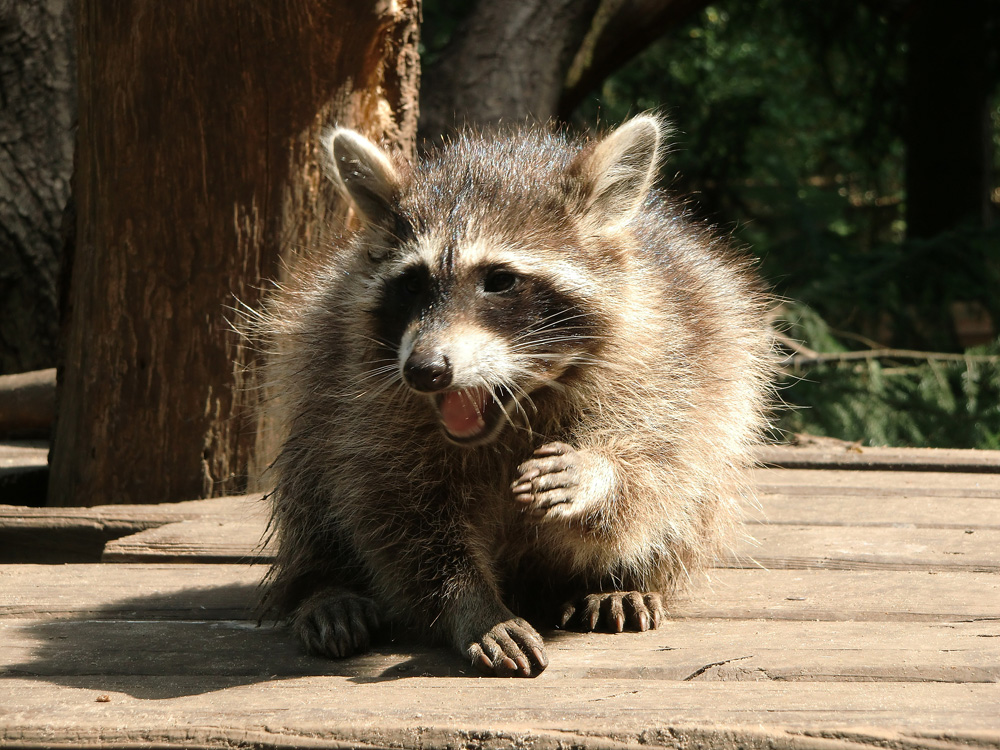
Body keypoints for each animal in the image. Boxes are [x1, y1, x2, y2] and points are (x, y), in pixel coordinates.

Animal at [260, 114, 772, 680]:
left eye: (500, 280)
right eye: (412, 284)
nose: (425, 371)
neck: (517, 410)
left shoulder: (675, 357)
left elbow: (661, 468)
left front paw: (600, 474)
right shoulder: (367, 398)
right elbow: (398, 509)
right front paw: (471, 605)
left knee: (697, 491)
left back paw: (622, 582)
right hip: (317, 365)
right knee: (312, 473)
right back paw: (323, 583)